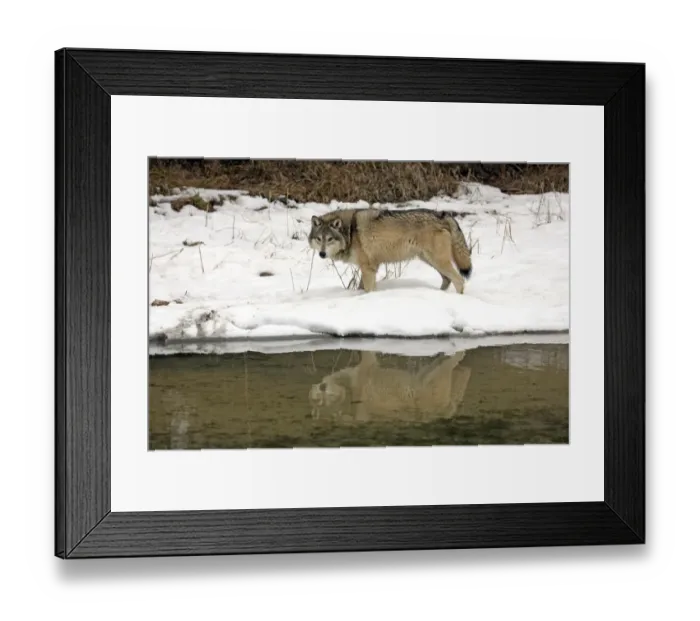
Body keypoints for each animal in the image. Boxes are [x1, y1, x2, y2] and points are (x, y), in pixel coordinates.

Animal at [308, 208, 473, 293]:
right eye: (319, 239)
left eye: (330, 239)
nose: (322, 254)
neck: (350, 232)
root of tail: (442, 215)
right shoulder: (370, 268)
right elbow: (362, 288)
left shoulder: (367, 268)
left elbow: (368, 289)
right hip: (430, 261)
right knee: (447, 279)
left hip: (438, 261)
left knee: (459, 280)